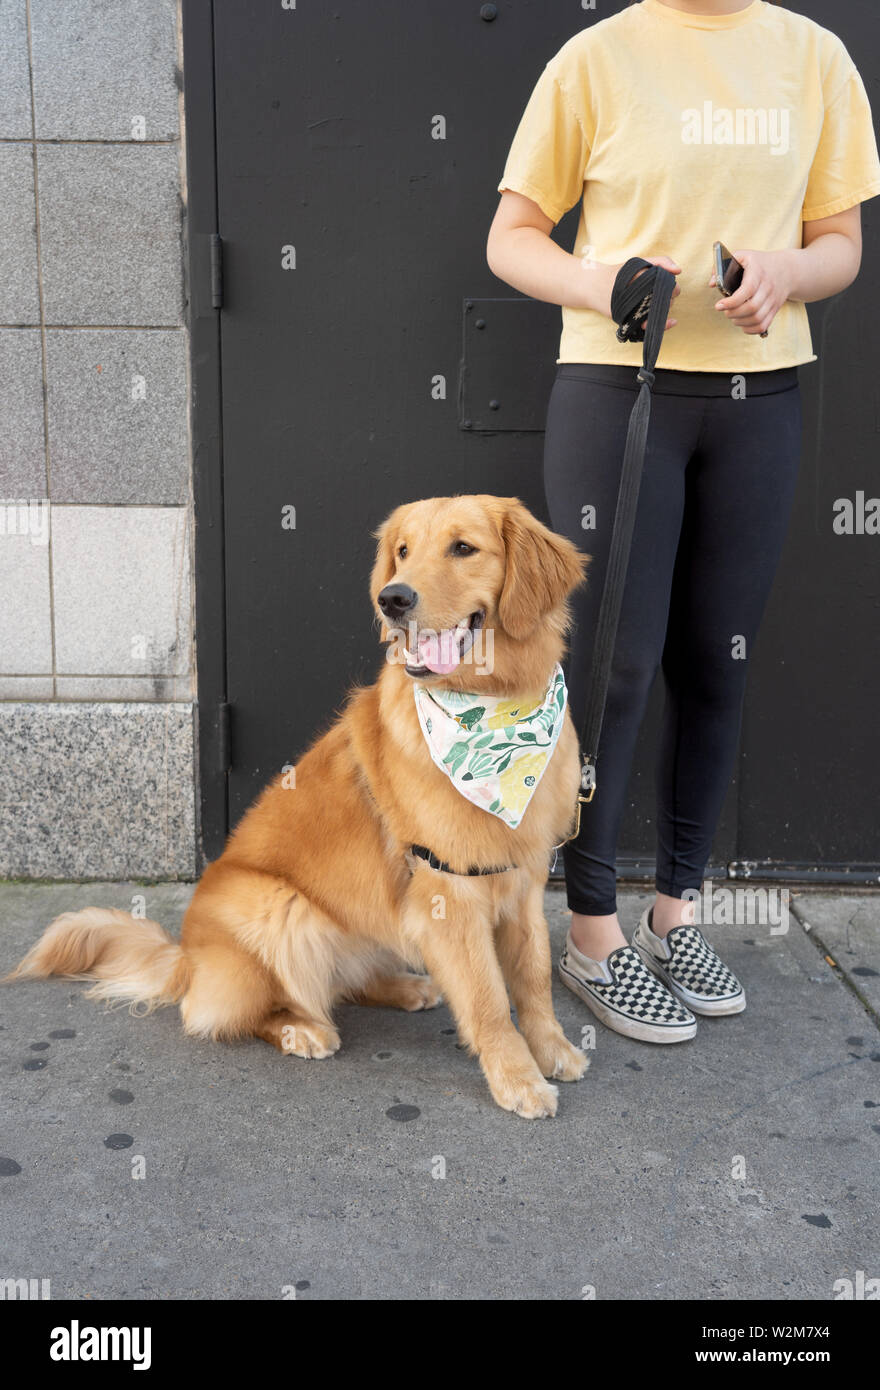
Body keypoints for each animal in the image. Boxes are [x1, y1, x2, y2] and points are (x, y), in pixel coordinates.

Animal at [8, 497, 589, 1117]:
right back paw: (301, 1029)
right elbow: (487, 998)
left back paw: (405, 986)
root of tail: (185, 959)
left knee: (343, 980)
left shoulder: (524, 878)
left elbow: (532, 979)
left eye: (463, 548)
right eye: (403, 551)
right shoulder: (448, 891)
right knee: (230, 1012)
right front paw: (517, 1078)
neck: (494, 709)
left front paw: (552, 1050)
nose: (392, 599)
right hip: (281, 908)